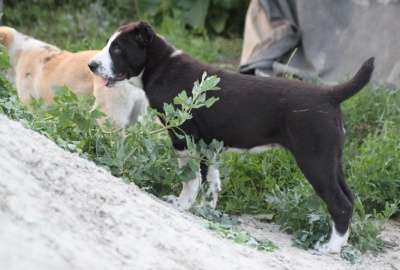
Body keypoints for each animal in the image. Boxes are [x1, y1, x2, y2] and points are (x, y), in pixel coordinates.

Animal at [90, 21, 376, 253]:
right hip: (331, 160)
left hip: (314, 160)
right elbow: (211, 181)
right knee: (349, 198)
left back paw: (330, 248)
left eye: (117, 49)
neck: (161, 65)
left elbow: (190, 177)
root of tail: (329, 95)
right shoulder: (208, 144)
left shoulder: (183, 136)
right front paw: (206, 209)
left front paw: (182, 204)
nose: (91, 65)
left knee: (340, 203)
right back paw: (340, 243)